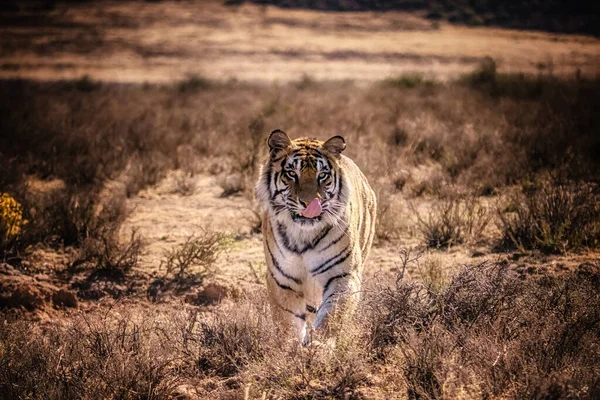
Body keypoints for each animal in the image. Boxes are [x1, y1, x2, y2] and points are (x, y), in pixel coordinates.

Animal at [255, 130, 378, 346]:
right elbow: (287, 320)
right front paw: (290, 348)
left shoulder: (342, 275)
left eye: (322, 175)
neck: (303, 234)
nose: (309, 204)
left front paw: (320, 346)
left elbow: (332, 315)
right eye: (291, 174)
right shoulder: (282, 279)